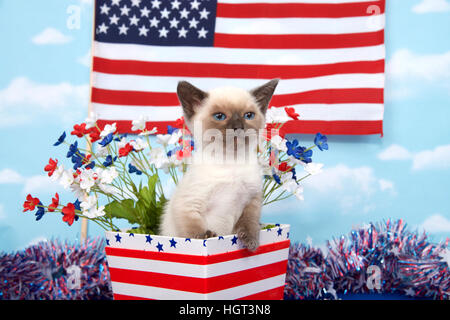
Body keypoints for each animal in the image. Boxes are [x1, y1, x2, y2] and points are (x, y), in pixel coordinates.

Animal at [158, 79, 278, 251]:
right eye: (219, 116)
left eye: (248, 115)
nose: (238, 127)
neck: (231, 162)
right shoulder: (190, 204)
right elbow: (194, 231)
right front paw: (205, 238)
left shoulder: (252, 201)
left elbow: (249, 223)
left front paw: (251, 243)